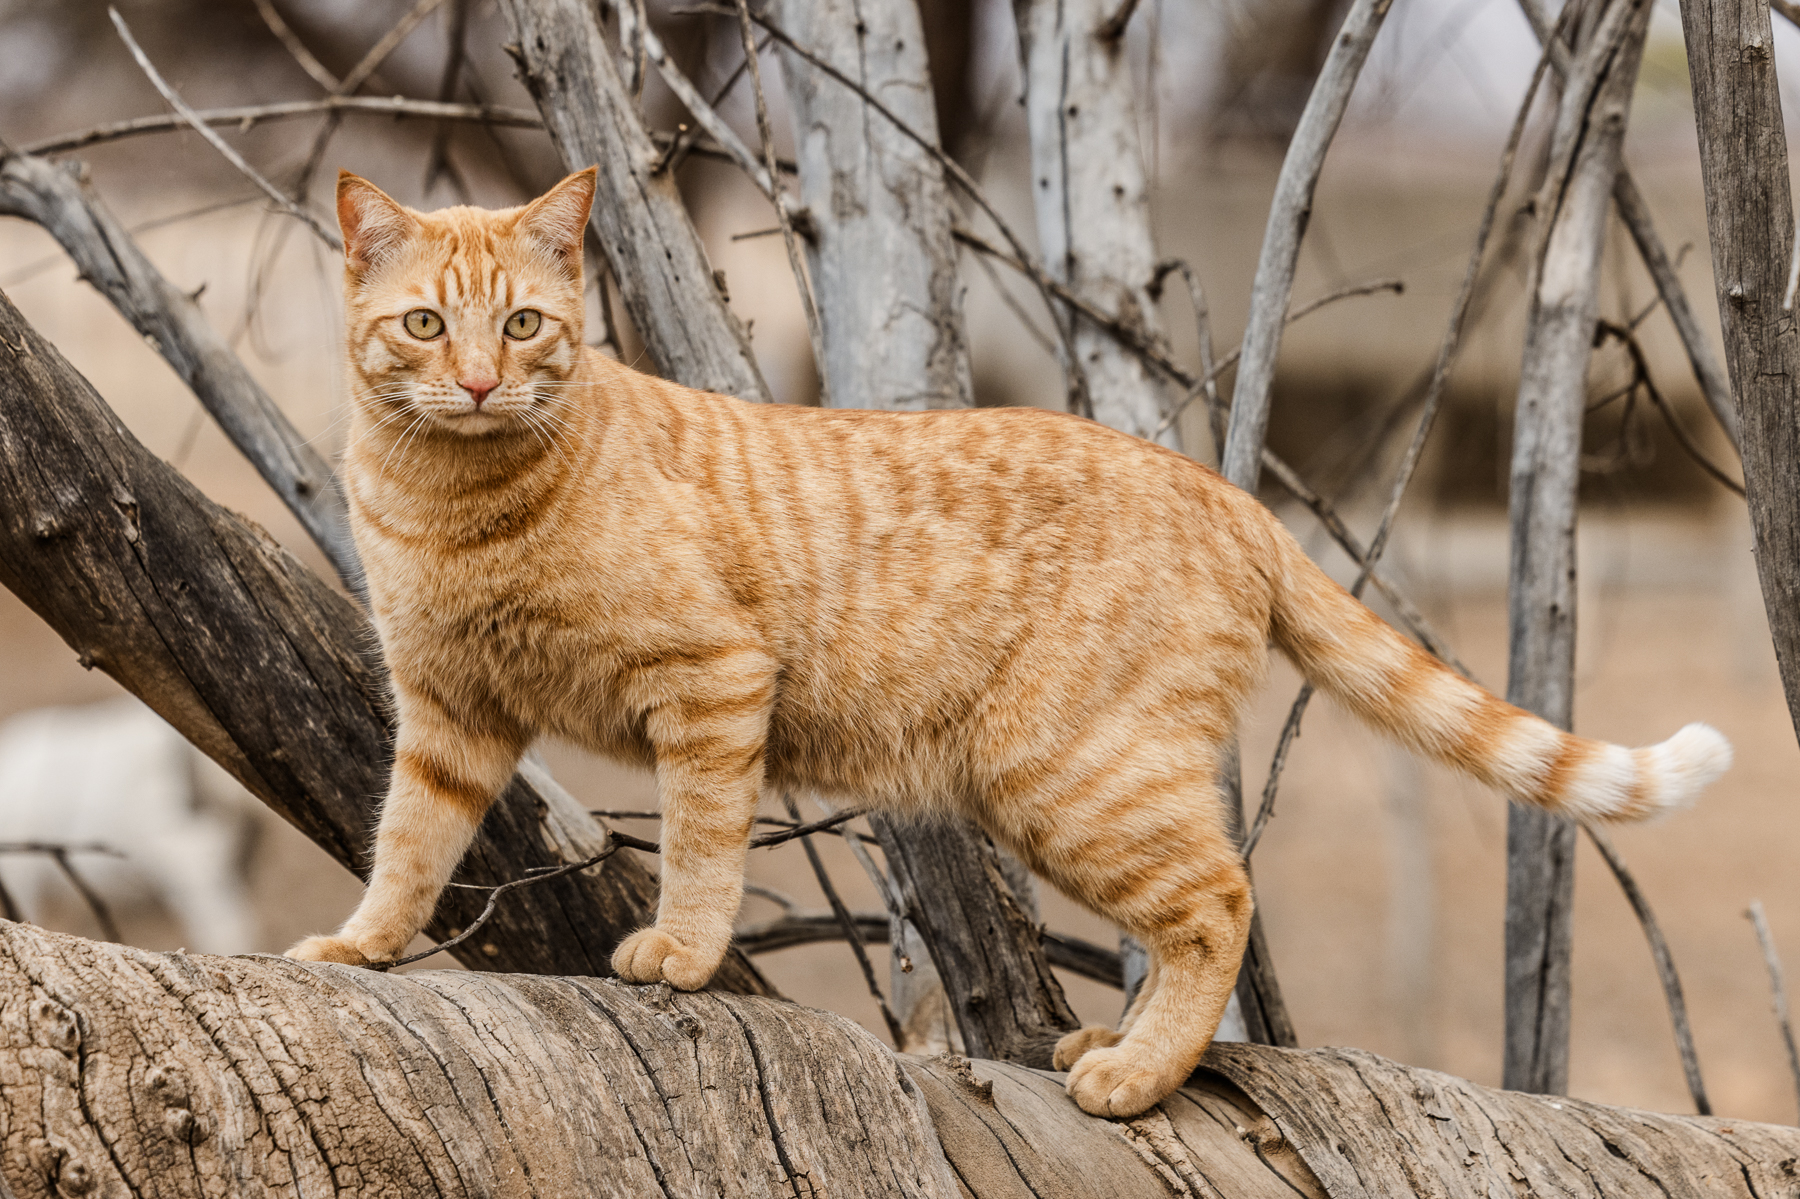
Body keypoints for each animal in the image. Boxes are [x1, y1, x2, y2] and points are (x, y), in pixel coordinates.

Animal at [291, 172, 1728, 1116]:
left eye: (524, 324)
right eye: (426, 325)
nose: (479, 380)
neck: (455, 499)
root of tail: (1228, 489)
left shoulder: (710, 683)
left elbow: (700, 846)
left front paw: (682, 959)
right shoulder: (448, 711)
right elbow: (407, 842)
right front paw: (361, 946)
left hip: (1071, 776)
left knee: (1218, 902)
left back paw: (1137, 1076)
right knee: (1202, 906)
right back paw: (1115, 1046)